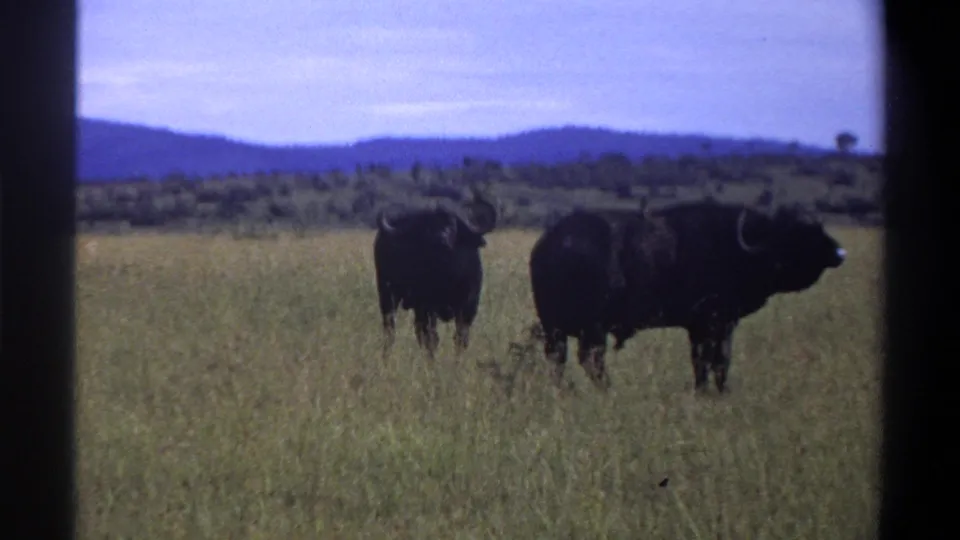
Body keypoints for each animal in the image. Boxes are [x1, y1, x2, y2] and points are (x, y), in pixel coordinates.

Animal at [374, 190, 498, 358]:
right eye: (428, 227)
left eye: (452, 224)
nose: (441, 239)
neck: (446, 275)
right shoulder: (427, 306)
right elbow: (432, 338)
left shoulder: (469, 305)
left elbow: (461, 336)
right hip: (387, 294)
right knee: (391, 327)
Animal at [528, 199, 846, 392]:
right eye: (801, 232)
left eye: (820, 227)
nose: (840, 253)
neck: (739, 249)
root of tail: (551, 244)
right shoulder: (715, 323)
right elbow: (716, 360)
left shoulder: (702, 327)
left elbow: (705, 362)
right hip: (591, 328)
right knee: (591, 361)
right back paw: (607, 390)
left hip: (554, 328)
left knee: (559, 359)